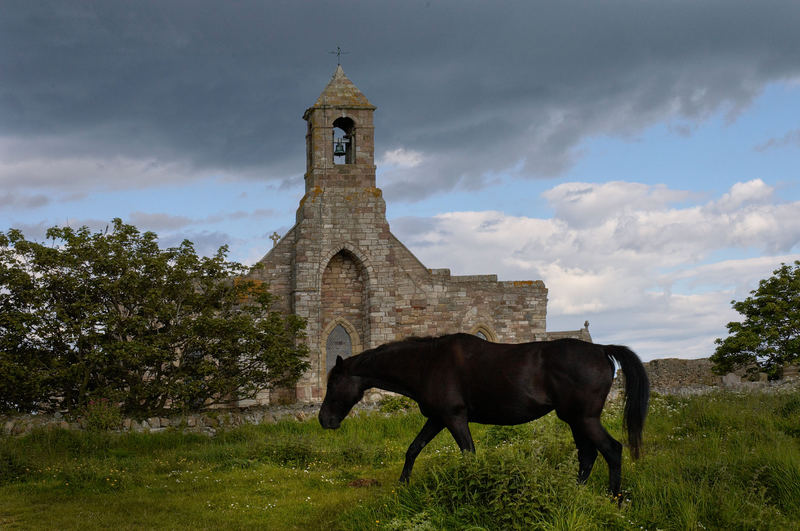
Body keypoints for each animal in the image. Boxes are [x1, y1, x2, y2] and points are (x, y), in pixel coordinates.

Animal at [318, 334, 648, 496]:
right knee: (587, 455)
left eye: (333, 383)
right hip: (576, 421)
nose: (324, 420)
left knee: (612, 450)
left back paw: (613, 498)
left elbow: (469, 455)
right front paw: (402, 485)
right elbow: (413, 449)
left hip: (584, 419)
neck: (427, 363)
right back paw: (576, 492)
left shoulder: (454, 418)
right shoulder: (437, 419)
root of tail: (601, 349)